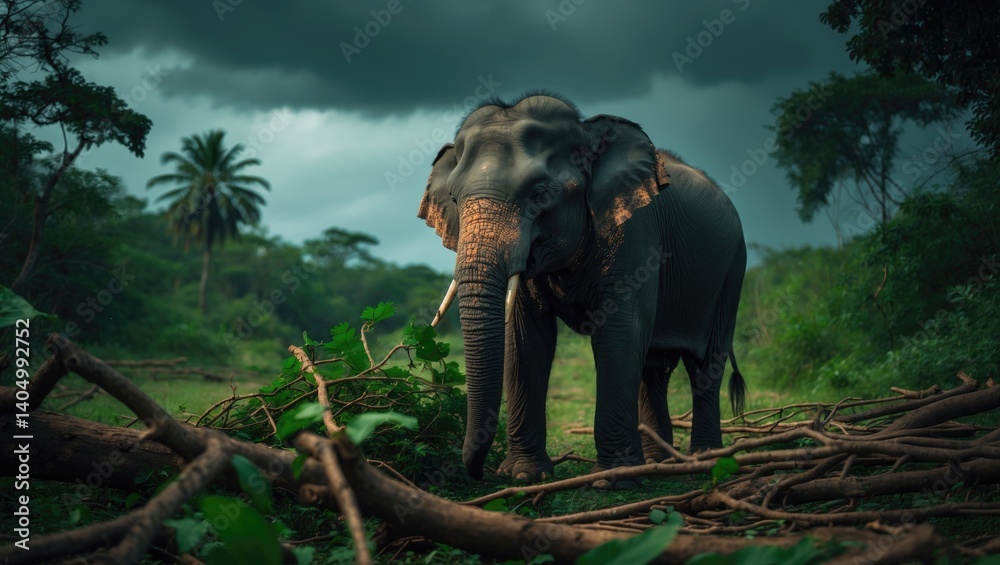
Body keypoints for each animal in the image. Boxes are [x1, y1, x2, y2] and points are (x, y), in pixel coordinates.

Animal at [417, 92, 747, 486]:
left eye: (540, 194)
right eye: (454, 198)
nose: (480, 474)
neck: (588, 134)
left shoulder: (636, 229)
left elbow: (620, 331)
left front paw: (612, 480)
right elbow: (526, 338)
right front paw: (525, 476)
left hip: (732, 268)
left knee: (705, 364)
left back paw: (705, 460)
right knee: (653, 368)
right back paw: (659, 464)